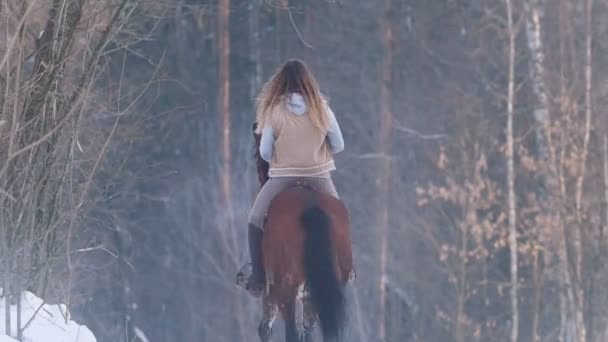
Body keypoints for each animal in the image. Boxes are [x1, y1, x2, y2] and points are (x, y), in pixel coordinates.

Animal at [235, 121, 354, 340]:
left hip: (285, 290)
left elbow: (265, 329)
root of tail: (311, 205)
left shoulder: (272, 293)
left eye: (256, 155)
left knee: (289, 331)